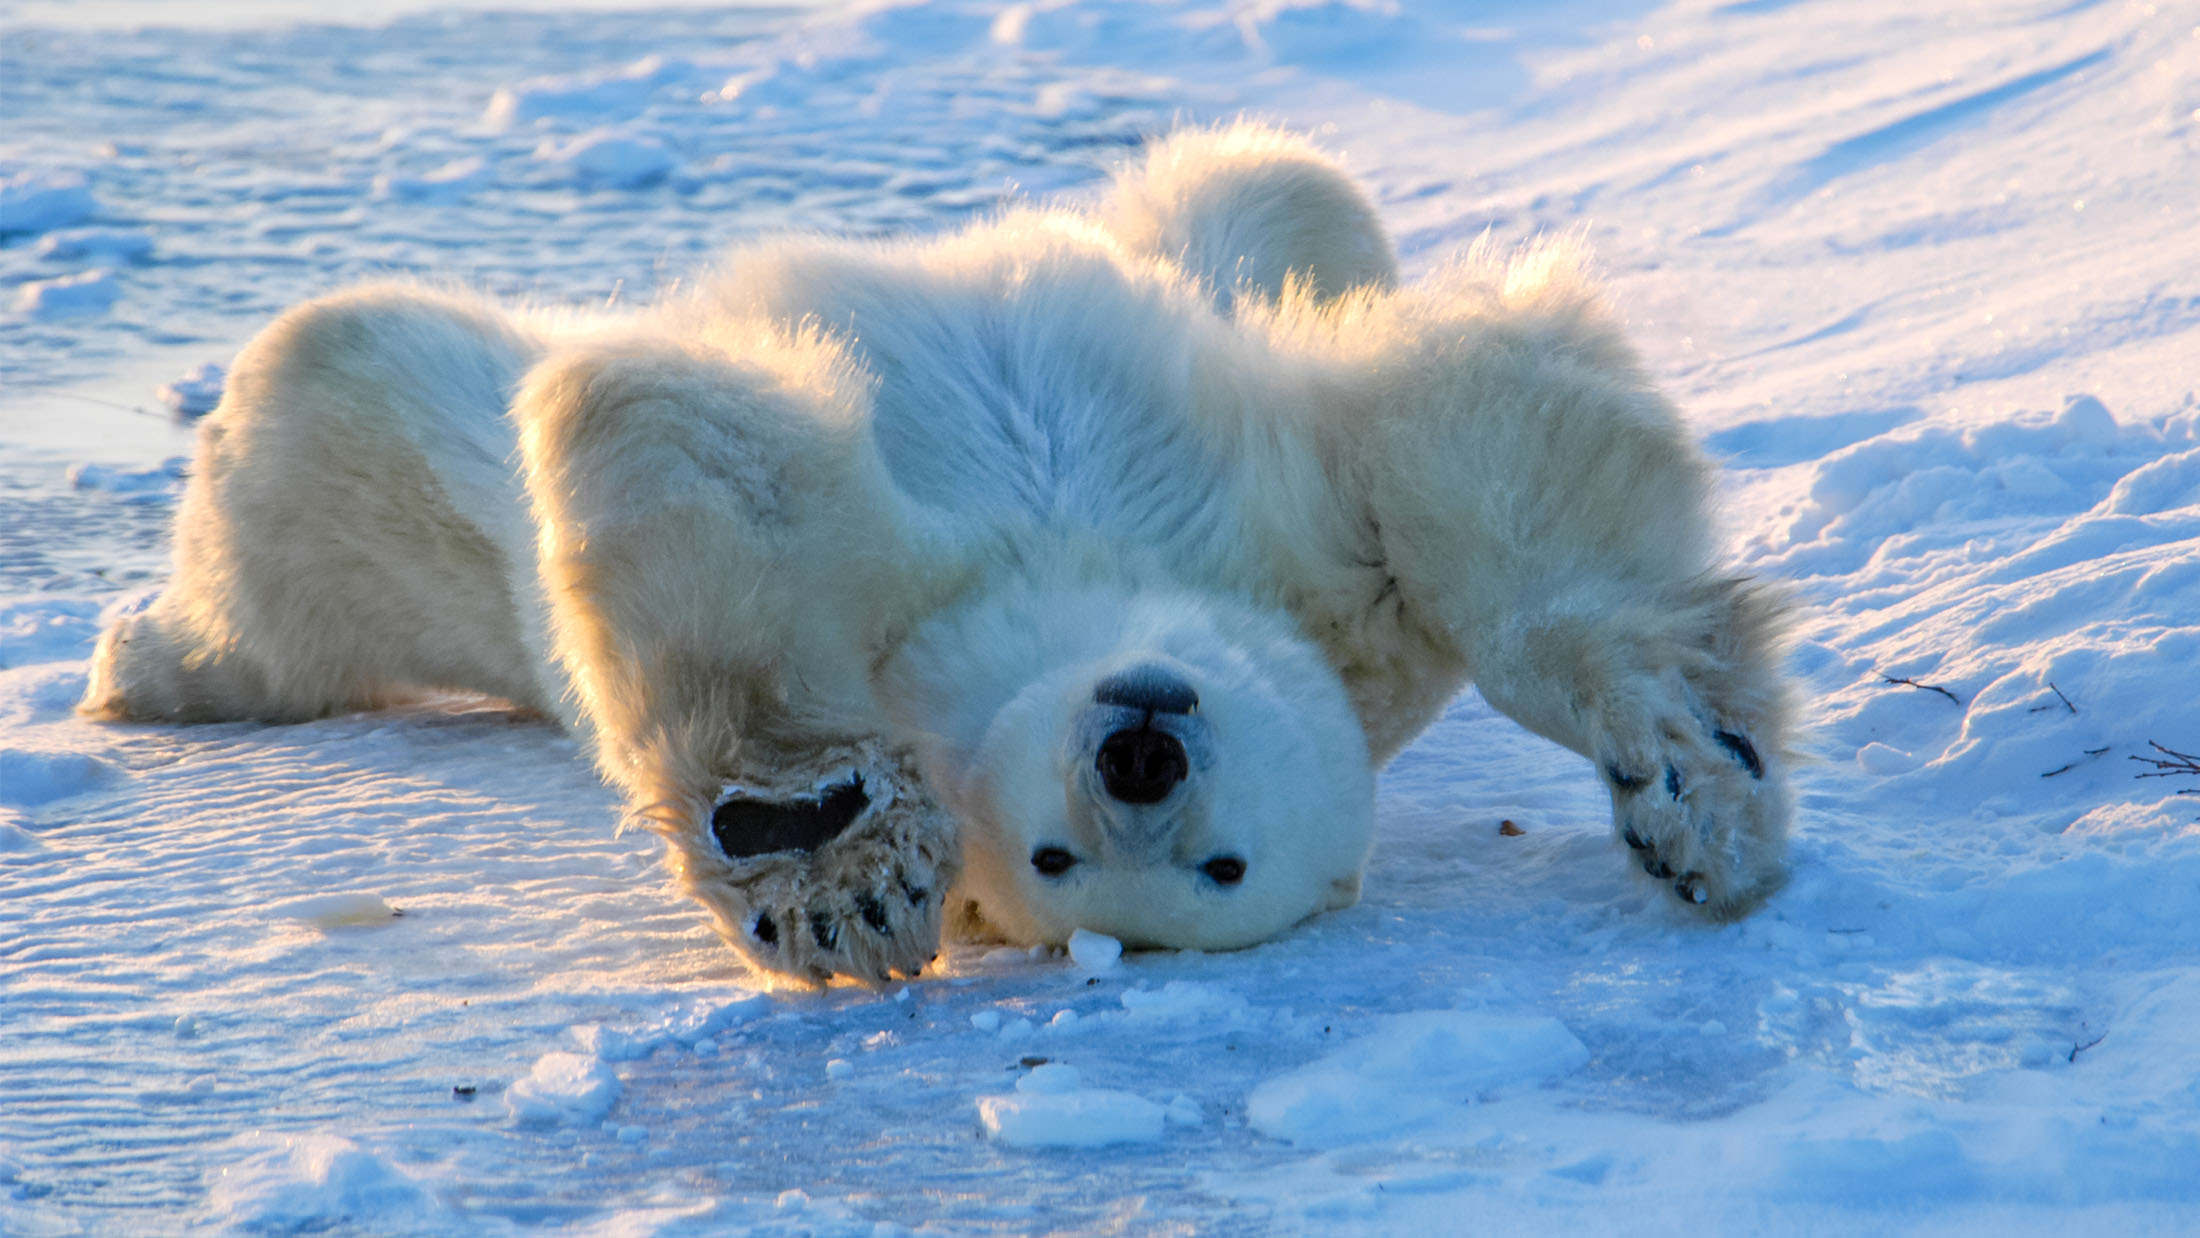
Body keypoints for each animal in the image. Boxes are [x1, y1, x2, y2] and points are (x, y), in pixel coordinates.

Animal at [80, 124, 1796, 984]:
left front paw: (1693, 779)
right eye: (1051, 855)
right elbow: (701, 461)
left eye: (1222, 871)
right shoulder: (979, 593)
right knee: (333, 395)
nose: (1139, 753)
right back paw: (155, 663)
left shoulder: (1324, 595)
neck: (1073, 584)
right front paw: (827, 850)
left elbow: (1484, 450)